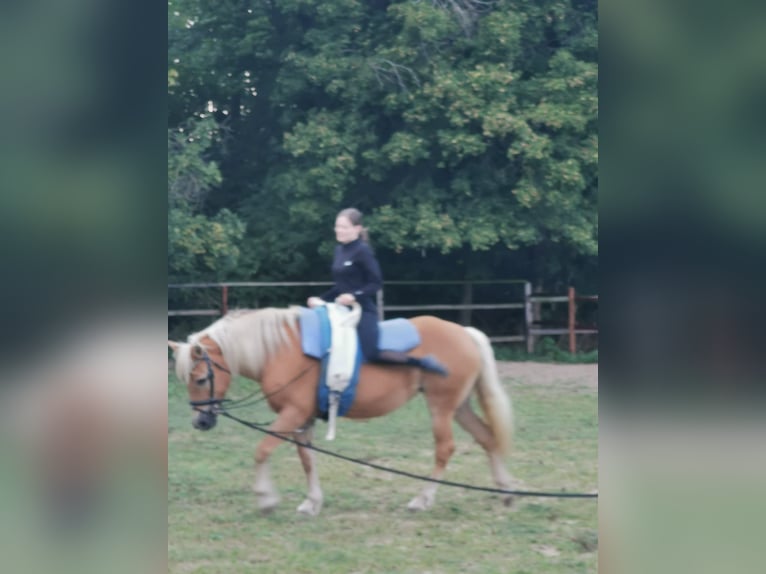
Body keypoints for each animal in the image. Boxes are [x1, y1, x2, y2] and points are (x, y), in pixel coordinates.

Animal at [168, 306, 516, 516]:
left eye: (200, 379)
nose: (200, 421)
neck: (281, 352)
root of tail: (465, 332)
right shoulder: (302, 420)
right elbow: (307, 460)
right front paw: (312, 503)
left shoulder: (292, 414)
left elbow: (262, 450)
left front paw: (266, 499)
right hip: (459, 406)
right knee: (487, 438)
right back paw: (507, 492)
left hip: (441, 406)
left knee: (445, 448)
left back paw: (423, 499)